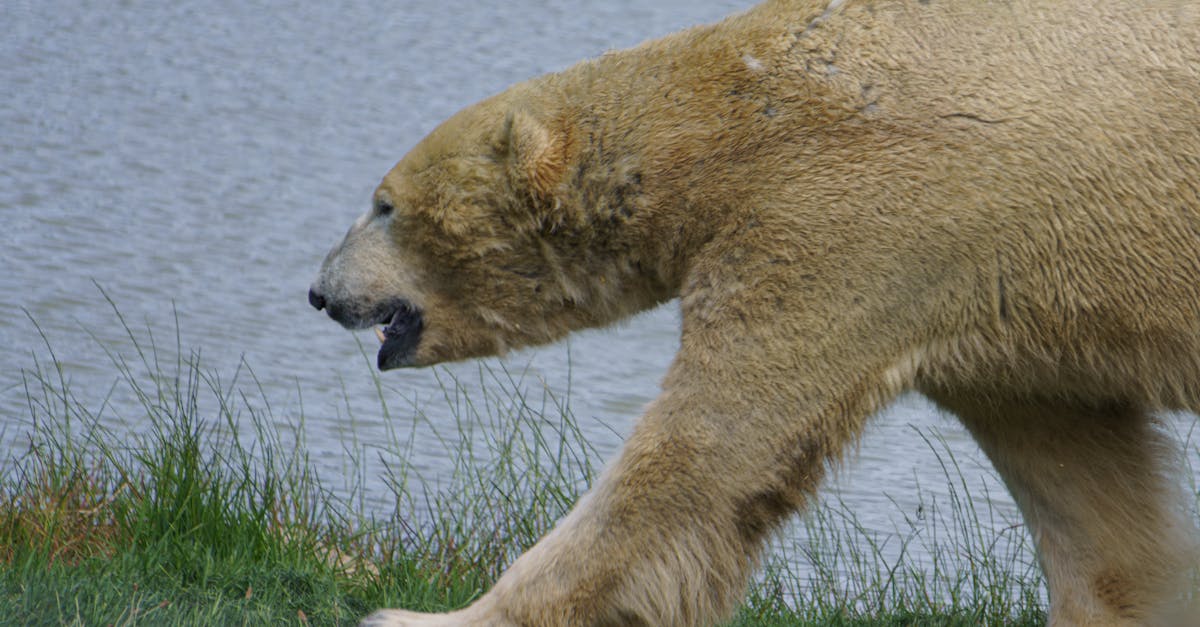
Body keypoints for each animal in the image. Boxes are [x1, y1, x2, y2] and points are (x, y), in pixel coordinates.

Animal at [309, 0, 1200, 619]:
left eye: (383, 205)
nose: (320, 291)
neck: (730, 111)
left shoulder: (839, 223)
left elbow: (701, 453)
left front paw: (413, 616)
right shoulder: (996, 306)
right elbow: (1093, 508)